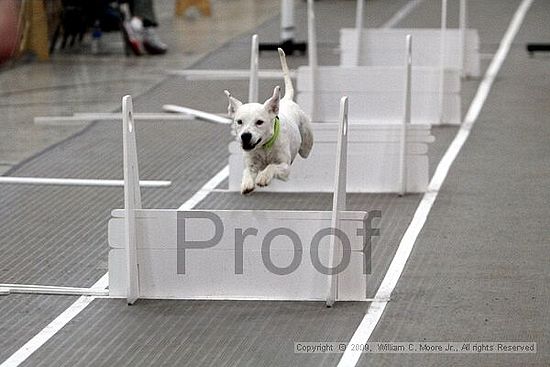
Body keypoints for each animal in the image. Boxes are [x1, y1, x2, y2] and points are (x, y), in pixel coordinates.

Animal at [225, 49, 314, 196]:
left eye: (259, 122)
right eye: (239, 122)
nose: (245, 136)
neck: (264, 146)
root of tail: (286, 100)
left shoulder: (285, 167)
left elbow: (272, 166)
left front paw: (263, 177)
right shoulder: (251, 163)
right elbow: (247, 172)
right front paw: (247, 183)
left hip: (306, 146)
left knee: (305, 150)